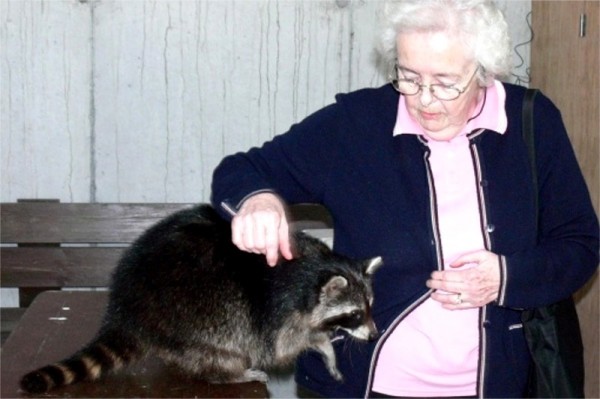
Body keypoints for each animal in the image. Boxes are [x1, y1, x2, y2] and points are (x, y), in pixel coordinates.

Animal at [22, 205, 384, 396]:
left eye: (370, 306)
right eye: (354, 313)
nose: (374, 334)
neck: (317, 269)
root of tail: (128, 307)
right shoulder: (280, 311)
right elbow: (285, 344)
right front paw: (323, 344)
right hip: (200, 310)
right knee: (221, 343)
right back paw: (230, 373)